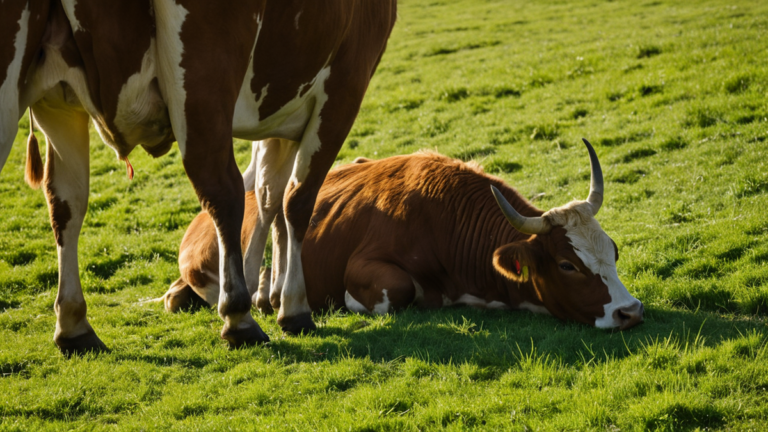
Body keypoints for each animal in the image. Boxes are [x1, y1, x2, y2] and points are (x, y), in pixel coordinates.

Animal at [0, 0, 397, 355]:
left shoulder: (280, 113)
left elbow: (269, 196)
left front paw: (268, 292)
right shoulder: (343, 88)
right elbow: (296, 202)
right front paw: (291, 307)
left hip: (56, 100)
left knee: (66, 203)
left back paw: (73, 326)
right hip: (203, 80)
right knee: (222, 189)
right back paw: (239, 318)